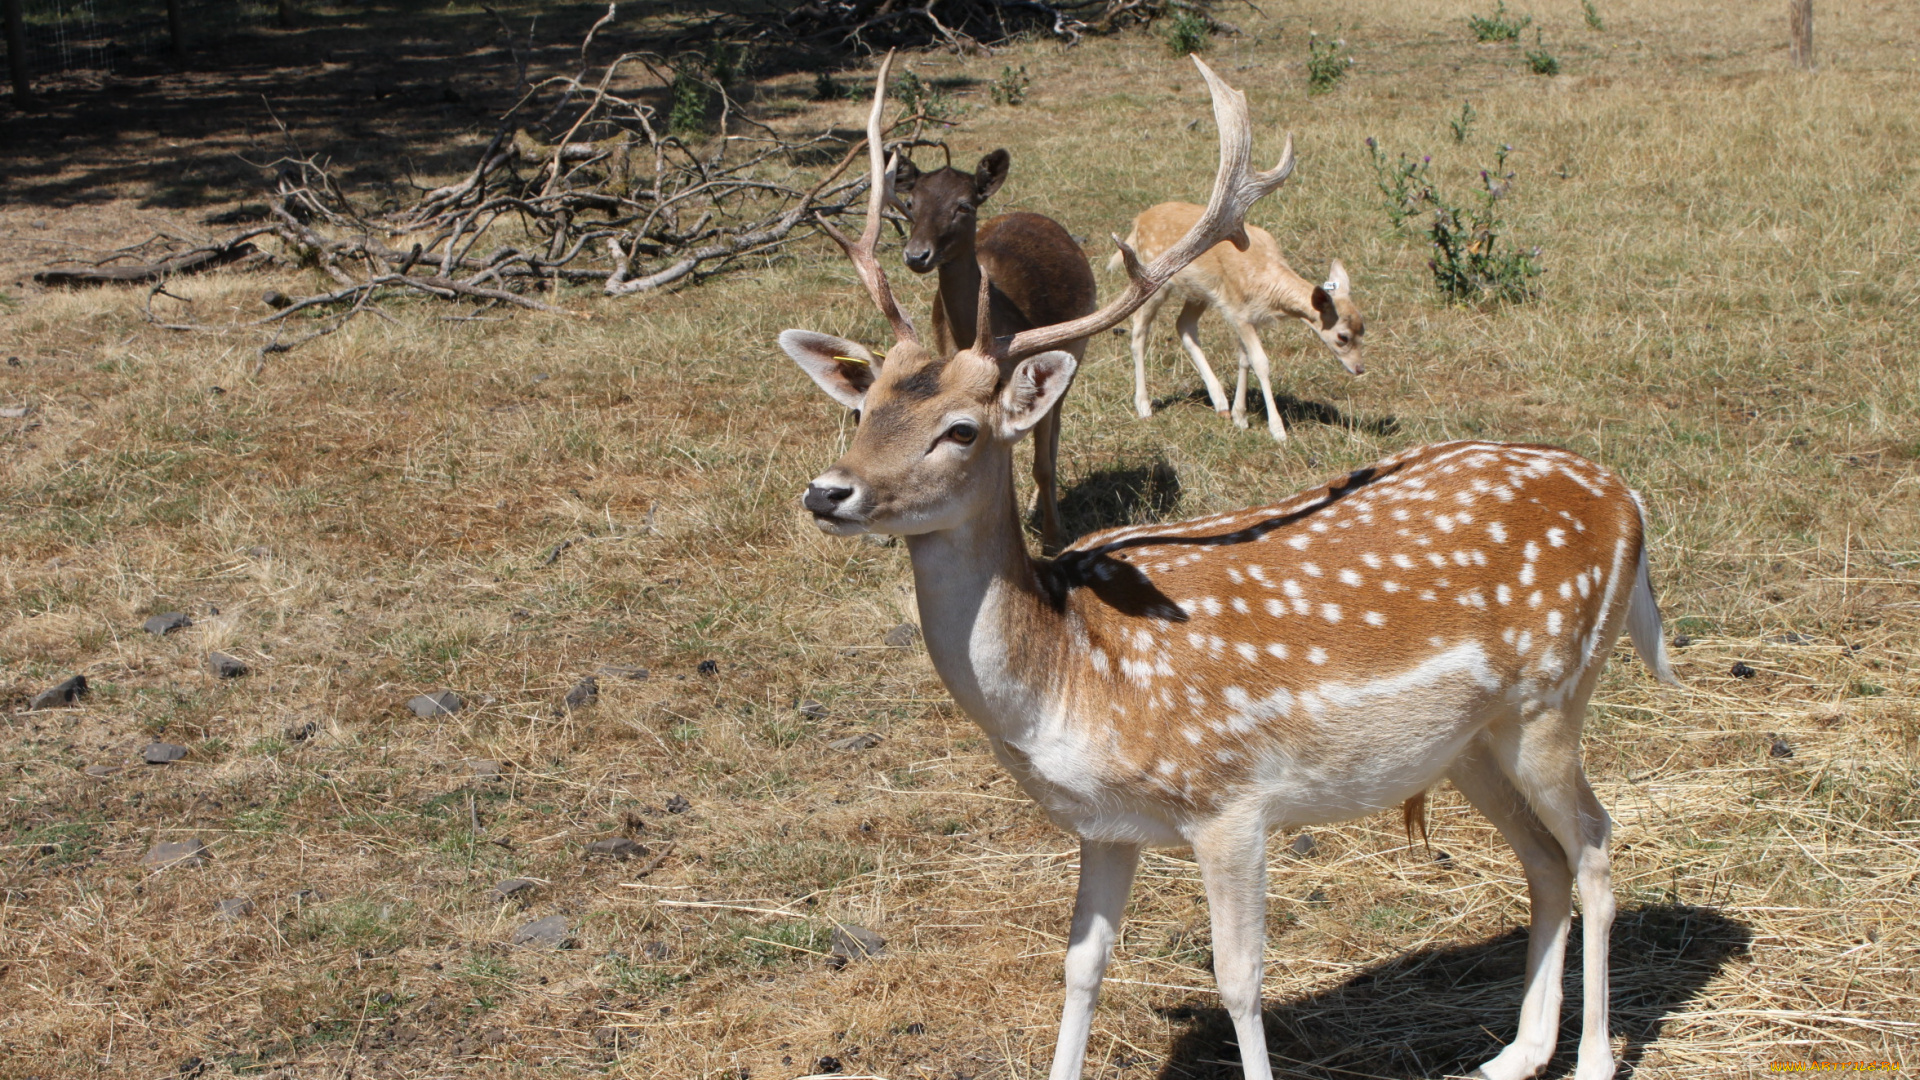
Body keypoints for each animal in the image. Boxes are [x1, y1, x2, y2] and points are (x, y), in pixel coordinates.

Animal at [887, 147, 1098, 549]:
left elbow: (1042, 463)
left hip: (1076, 351)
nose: (916, 255)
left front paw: (1053, 538)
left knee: (1054, 431)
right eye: (910, 203)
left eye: (964, 205)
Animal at [1121, 199, 1374, 440]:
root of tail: (1137, 222)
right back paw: (1144, 406)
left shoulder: (1248, 318)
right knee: (1139, 331)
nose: (1360, 368)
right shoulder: (1238, 313)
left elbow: (1244, 359)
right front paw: (1278, 430)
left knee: (1184, 325)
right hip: (1154, 282)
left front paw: (1239, 417)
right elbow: (1260, 362)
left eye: (1363, 329)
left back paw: (1220, 402)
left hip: (1199, 293)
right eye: (1343, 336)